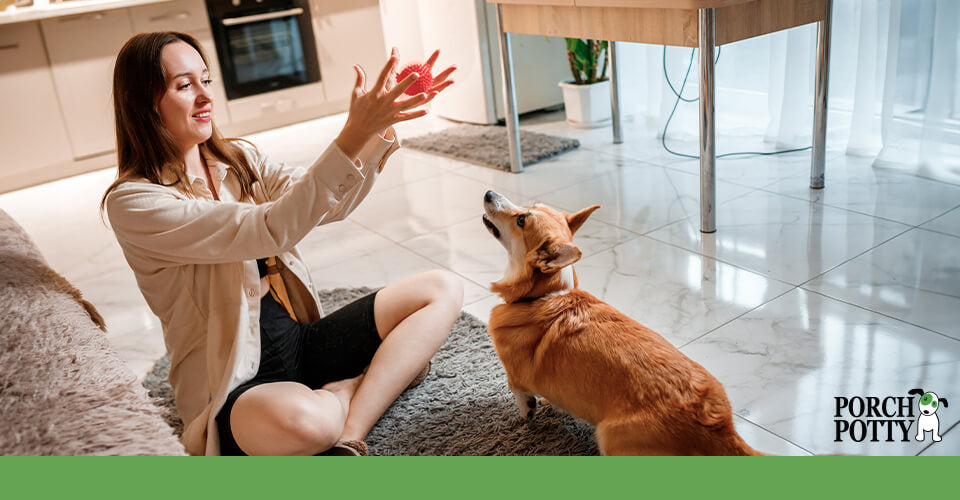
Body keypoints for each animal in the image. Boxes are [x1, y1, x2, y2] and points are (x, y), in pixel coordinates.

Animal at [484, 191, 768, 458]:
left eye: (521, 220)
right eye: (529, 206)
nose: (488, 193)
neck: (547, 293)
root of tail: (717, 427)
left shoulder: (514, 376)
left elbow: (520, 397)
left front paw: (527, 415)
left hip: (608, 436)